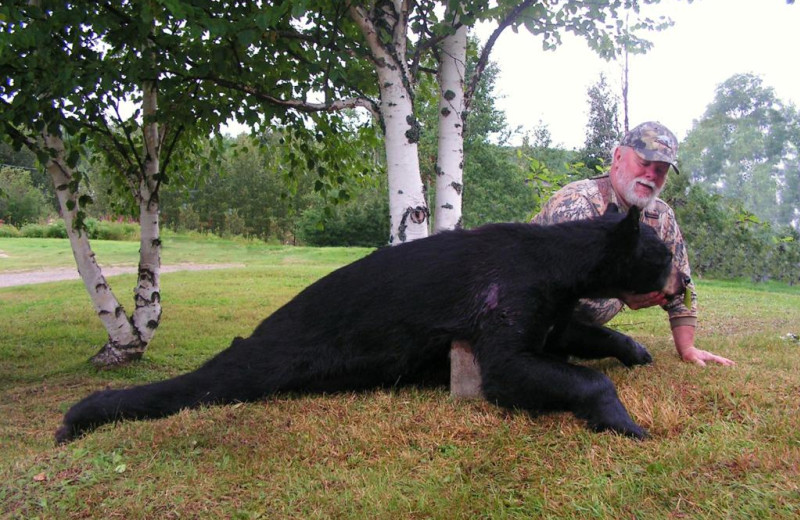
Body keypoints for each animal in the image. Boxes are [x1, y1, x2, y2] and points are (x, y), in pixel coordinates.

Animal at [54, 204, 688, 442]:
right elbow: (519, 371)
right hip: (273, 359)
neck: (556, 261)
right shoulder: (507, 299)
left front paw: (635, 349)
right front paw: (623, 419)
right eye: (663, 254)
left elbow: (579, 333)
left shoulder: (549, 309)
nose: (683, 283)